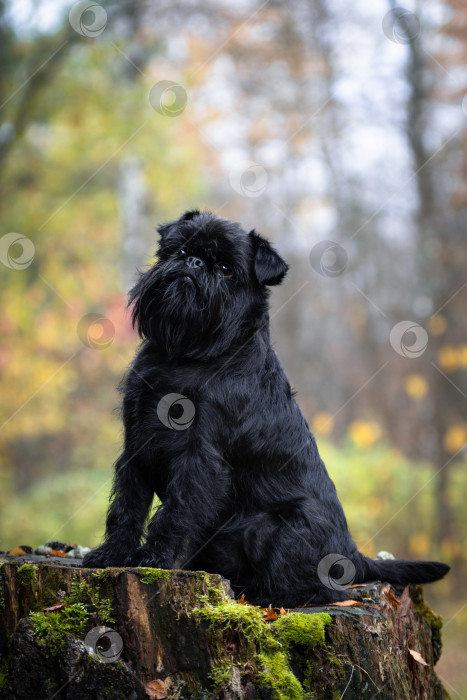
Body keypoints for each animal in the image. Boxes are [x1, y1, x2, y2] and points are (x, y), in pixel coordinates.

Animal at [83, 209, 450, 608]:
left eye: (226, 268)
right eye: (178, 250)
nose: (193, 262)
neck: (185, 354)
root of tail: (354, 554)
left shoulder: (199, 459)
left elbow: (175, 512)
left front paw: (153, 559)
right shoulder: (137, 444)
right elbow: (127, 504)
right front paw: (112, 554)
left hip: (273, 526)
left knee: (322, 591)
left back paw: (262, 595)